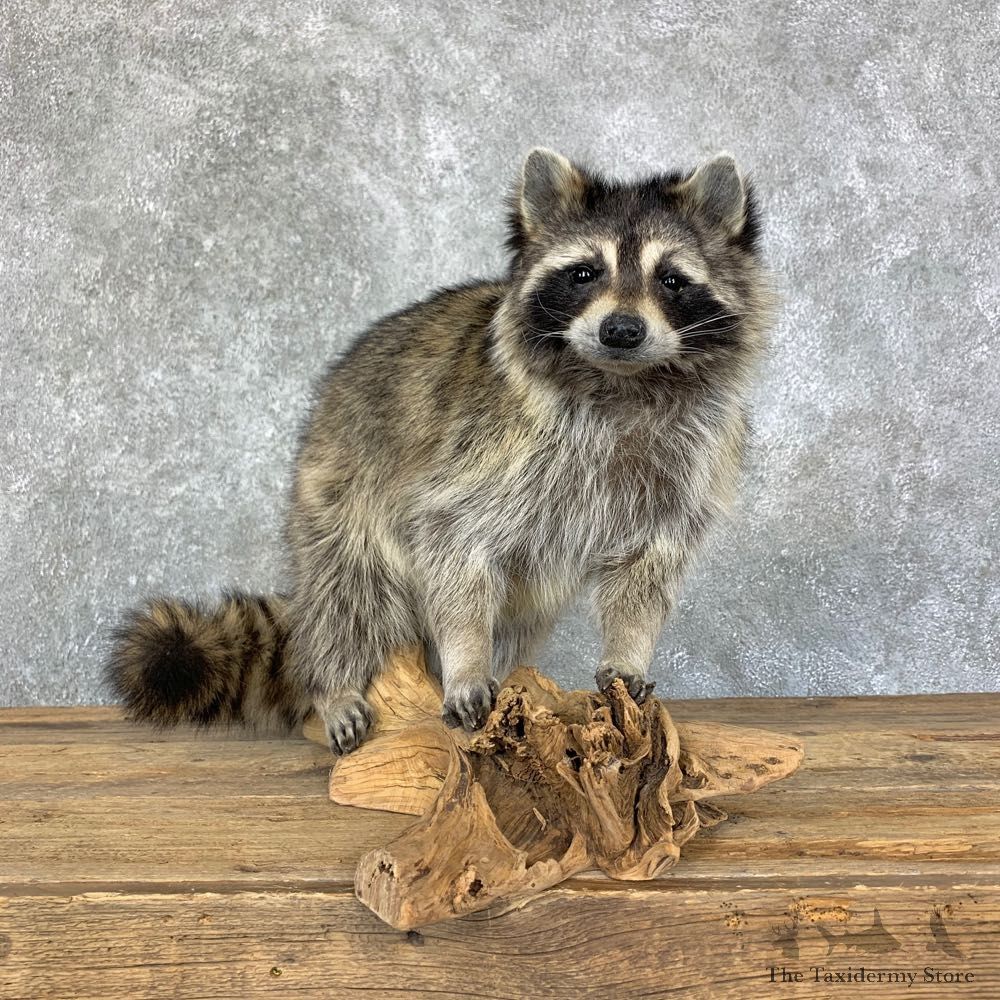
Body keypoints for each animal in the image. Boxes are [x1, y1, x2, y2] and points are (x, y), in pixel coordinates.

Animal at [107, 148, 775, 754]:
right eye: (585, 272)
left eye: (672, 279)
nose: (622, 330)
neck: (622, 382)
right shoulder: (482, 452)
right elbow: (452, 546)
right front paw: (464, 661)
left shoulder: (690, 465)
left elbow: (646, 570)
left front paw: (628, 650)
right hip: (334, 486)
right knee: (346, 593)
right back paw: (337, 684)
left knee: (515, 620)